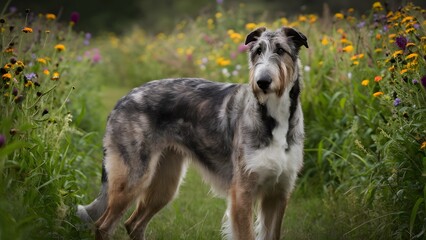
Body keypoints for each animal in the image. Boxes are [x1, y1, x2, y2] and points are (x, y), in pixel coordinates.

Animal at [78, 26, 308, 240]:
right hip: (133, 179)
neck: (274, 117)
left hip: (165, 185)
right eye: (258, 51)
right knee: (102, 226)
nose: (262, 82)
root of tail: (123, 99)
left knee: (133, 224)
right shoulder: (242, 193)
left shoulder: (278, 194)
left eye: (280, 50)